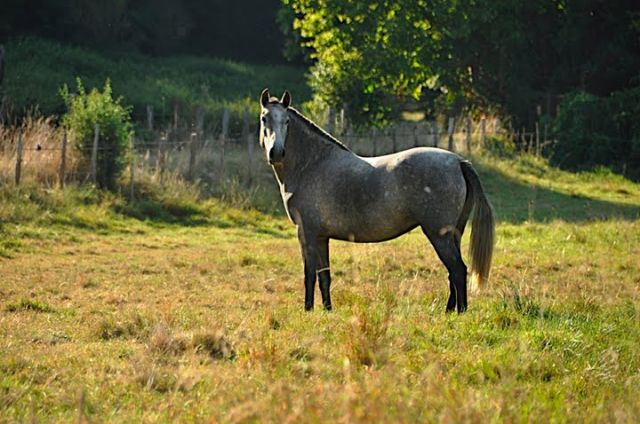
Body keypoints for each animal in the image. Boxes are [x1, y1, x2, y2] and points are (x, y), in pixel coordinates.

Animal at [258, 88, 496, 312]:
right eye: (264, 118)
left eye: (287, 121)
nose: (276, 152)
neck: (312, 165)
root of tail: (458, 162)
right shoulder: (321, 236)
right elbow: (324, 276)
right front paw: (327, 310)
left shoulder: (306, 232)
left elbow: (309, 275)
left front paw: (308, 311)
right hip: (453, 234)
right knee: (453, 273)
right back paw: (449, 310)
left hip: (439, 234)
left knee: (457, 270)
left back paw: (460, 312)